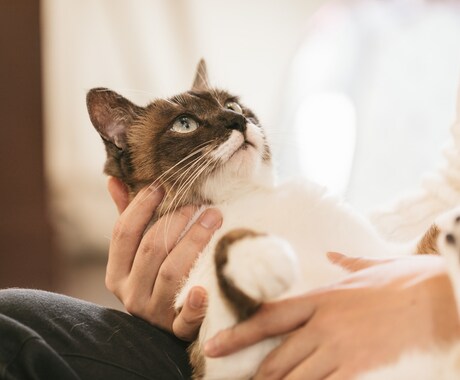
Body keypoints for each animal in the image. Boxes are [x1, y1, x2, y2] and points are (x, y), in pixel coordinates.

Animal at [85, 60, 460, 378]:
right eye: (184, 124)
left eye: (233, 106)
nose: (238, 122)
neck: (244, 198)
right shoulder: (231, 358)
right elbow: (227, 248)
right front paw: (260, 256)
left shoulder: (390, 257)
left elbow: (431, 237)